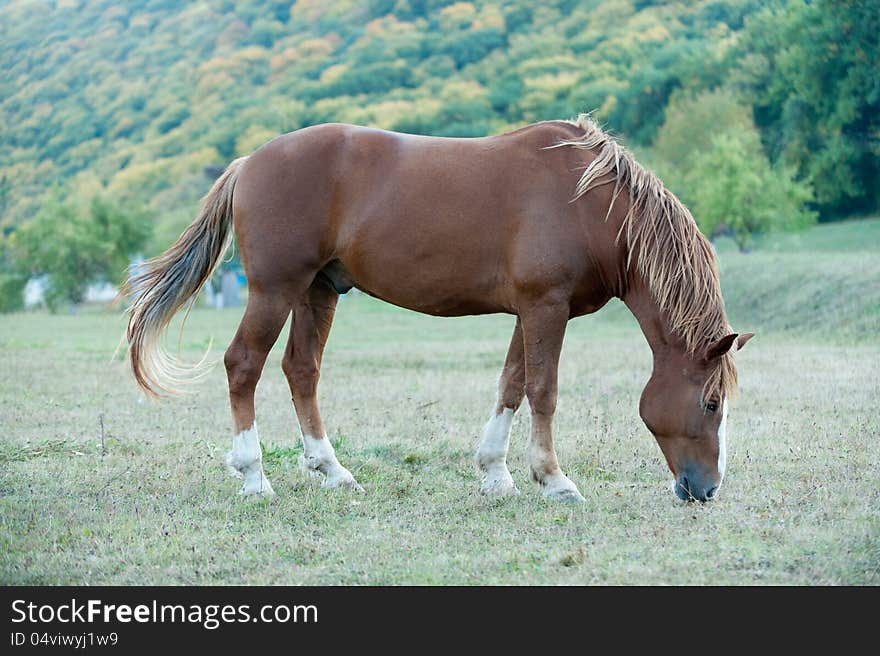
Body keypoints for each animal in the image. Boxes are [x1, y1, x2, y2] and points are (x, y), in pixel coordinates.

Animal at [125, 114, 756, 502]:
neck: (589, 204)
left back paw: (332, 470)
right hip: (274, 290)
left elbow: (511, 385)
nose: (706, 490)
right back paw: (254, 477)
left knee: (300, 370)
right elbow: (543, 390)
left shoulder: (530, 312)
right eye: (711, 402)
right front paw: (553, 480)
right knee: (244, 366)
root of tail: (249, 162)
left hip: (317, 292)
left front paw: (496, 473)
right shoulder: (546, 309)